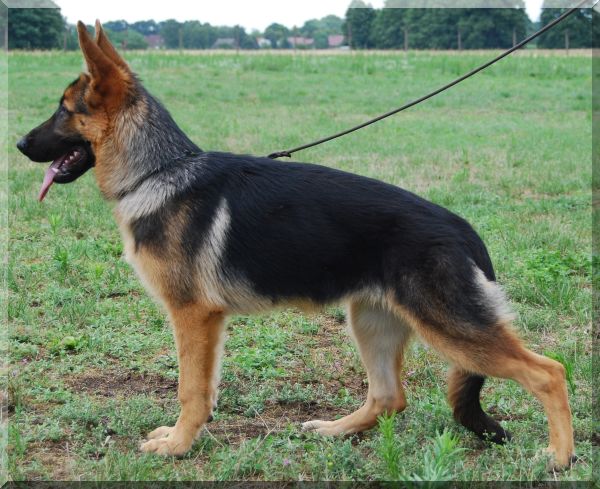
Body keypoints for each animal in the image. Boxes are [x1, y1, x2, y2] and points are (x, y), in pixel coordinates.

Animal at [16, 21, 575, 469]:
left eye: (63, 111)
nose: (19, 144)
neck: (157, 171)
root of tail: (461, 228)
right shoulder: (206, 323)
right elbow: (204, 389)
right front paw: (185, 438)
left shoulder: (193, 316)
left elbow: (190, 390)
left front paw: (177, 445)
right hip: (370, 321)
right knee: (389, 397)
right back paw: (334, 430)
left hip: (449, 329)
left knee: (549, 372)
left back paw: (559, 456)